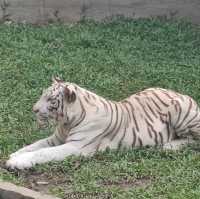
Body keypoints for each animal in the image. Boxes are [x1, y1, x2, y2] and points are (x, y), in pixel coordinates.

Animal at [6, 77, 200, 169]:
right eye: (42, 95)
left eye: (50, 100)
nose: (34, 109)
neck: (67, 122)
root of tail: (183, 94)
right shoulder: (56, 139)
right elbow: (34, 145)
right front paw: (14, 155)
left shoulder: (76, 147)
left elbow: (43, 153)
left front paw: (17, 162)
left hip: (181, 113)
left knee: (194, 140)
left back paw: (170, 146)